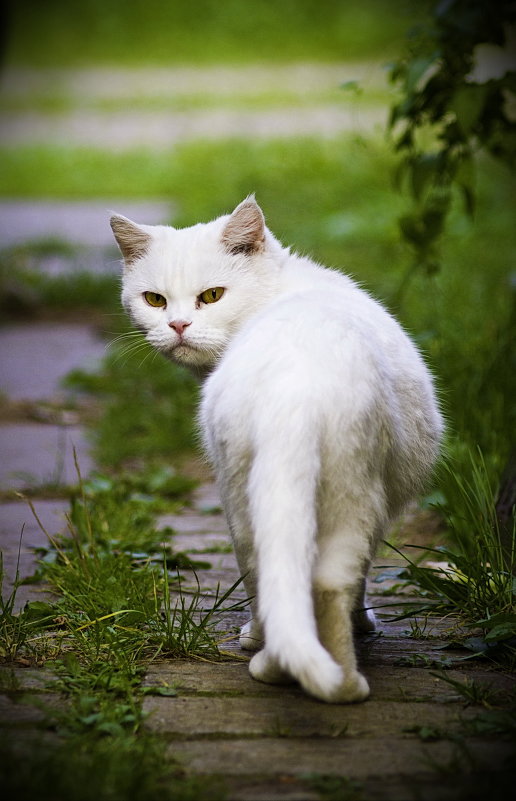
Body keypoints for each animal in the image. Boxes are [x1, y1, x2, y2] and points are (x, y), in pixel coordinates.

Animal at [111, 197, 442, 704]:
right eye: (155, 300)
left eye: (212, 296)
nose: (177, 324)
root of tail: (295, 389)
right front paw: (364, 624)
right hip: (350, 495)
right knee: (326, 583)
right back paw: (336, 681)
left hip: (245, 492)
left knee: (274, 573)